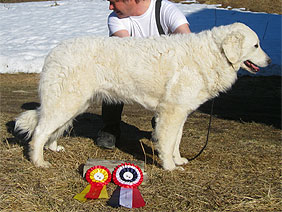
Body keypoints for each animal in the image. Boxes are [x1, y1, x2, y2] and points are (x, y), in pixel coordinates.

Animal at [15, 22, 270, 170]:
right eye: (256, 45)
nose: (269, 61)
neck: (213, 54)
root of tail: (54, 51)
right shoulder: (171, 113)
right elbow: (167, 142)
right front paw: (170, 167)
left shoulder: (180, 112)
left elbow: (177, 141)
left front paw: (178, 160)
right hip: (66, 102)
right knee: (39, 132)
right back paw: (39, 161)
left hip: (74, 104)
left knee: (50, 130)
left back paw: (53, 147)